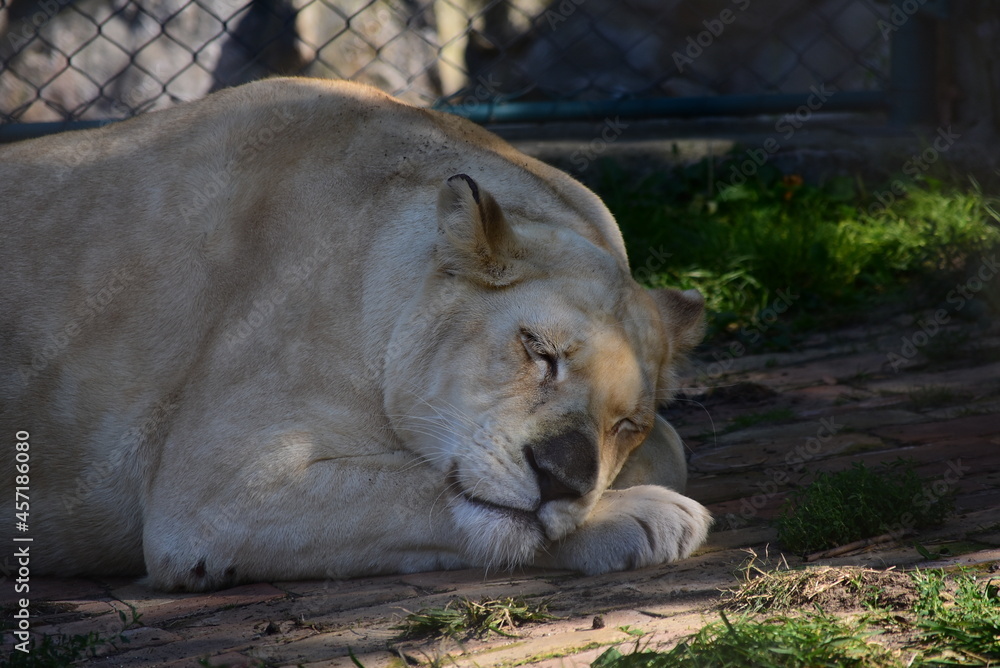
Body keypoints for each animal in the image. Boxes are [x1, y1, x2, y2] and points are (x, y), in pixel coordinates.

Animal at [0, 78, 711, 591]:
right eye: (538, 349)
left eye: (627, 424)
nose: (560, 481)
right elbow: (408, 487)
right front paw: (644, 515)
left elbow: (673, 445)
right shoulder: (213, 496)